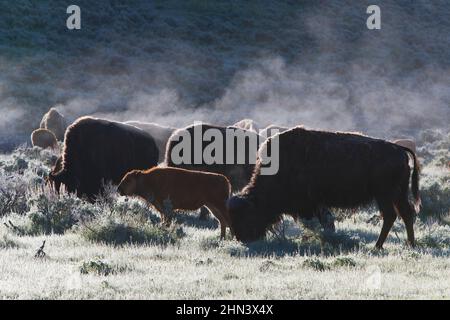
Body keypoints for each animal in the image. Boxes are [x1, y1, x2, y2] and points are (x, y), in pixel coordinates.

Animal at [229, 126, 422, 249]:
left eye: (247, 215)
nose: (243, 239)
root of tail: (399, 149)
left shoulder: (314, 205)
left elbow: (325, 223)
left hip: (385, 195)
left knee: (391, 216)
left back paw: (378, 246)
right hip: (397, 194)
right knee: (405, 214)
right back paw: (409, 244)